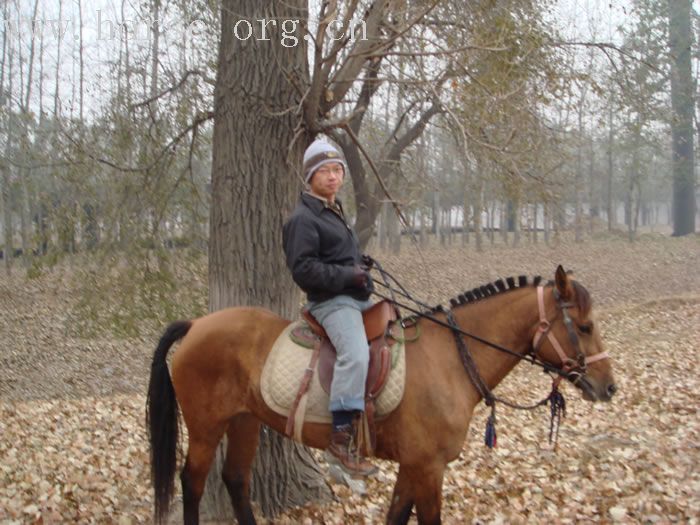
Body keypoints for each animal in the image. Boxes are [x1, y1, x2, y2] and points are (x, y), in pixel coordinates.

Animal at [146, 266, 612, 524]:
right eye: (584, 326)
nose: (609, 386)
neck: (450, 358)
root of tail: (197, 324)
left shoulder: (414, 466)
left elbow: (395, 517)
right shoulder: (428, 468)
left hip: (244, 420)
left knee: (236, 481)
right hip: (206, 427)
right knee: (193, 483)